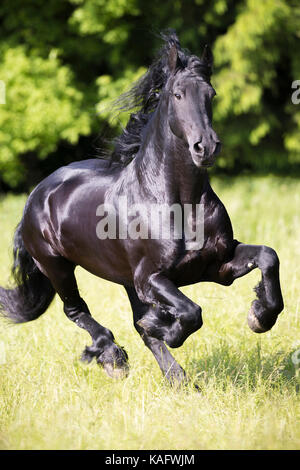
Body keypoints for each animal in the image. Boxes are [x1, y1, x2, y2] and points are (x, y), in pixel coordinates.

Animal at [0, 33, 282, 386]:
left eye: (211, 94)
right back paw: (114, 358)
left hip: (122, 279)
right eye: (177, 94)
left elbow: (268, 256)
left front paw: (259, 316)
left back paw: (177, 380)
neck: (179, 204)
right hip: (57, 266)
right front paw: (163, 326)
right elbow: (190, 313)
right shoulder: (151, 278)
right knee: (76, 310)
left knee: (134, 323)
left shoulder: (217, 266)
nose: (206, 147)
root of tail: (37, 194)